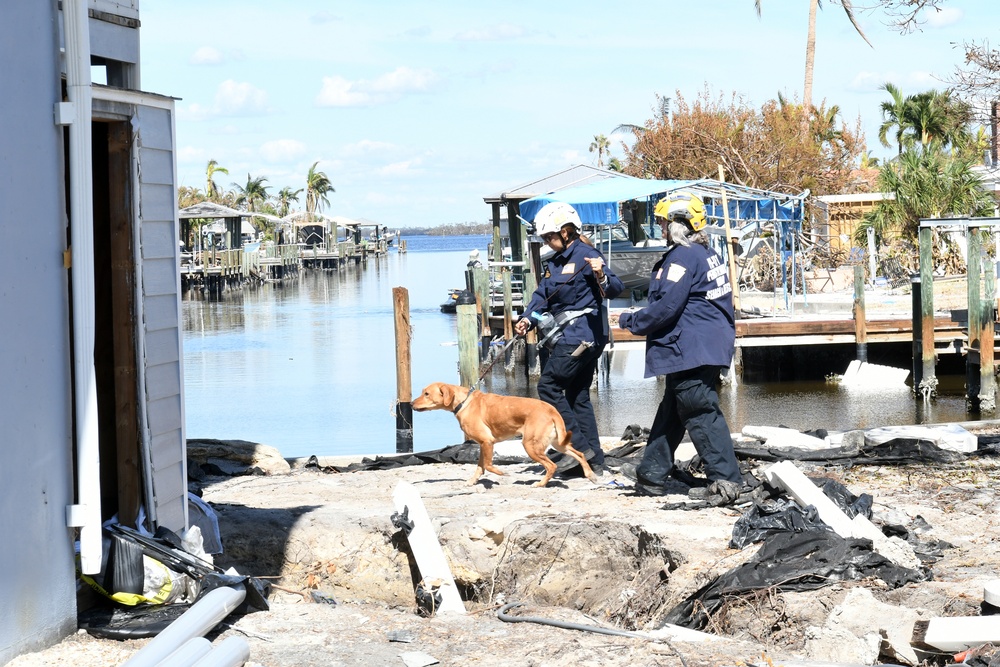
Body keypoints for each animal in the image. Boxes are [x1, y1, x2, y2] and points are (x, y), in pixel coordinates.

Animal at [412, 384, 596, 488]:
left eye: (426, 393)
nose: (411, 403)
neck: (464, 402)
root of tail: (551, 409)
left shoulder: (487, 441)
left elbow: (488, 465)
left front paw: (501, 473)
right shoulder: (482, 444)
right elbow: (480, 466)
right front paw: (473, 481)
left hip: (530, 445)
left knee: (552, 466)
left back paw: (541, 483)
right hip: (558, 443)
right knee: (579, 454)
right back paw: (590, 475)